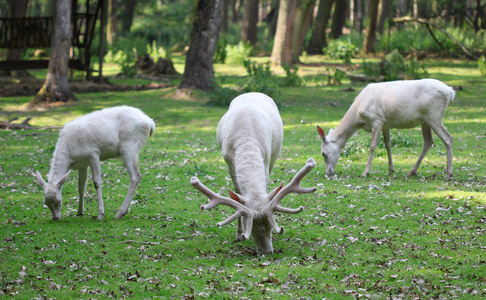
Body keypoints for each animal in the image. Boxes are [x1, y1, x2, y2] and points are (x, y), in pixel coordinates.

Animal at [188, 93, 318, 253]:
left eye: (270, 227)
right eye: (252, 231)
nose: (266, 252)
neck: (247, 139)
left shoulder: (267, 158)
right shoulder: (229, 162)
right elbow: (238, 196)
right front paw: (238, 234)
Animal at [318, 78, 454, 179]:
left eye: (323, 153)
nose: (328, 173)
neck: (358, 114)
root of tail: (450, 91)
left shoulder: (377, 119)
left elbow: (373, 146)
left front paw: (365, 172)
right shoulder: (385, 124)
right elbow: (388, 144)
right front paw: (390, 170)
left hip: (434, 116)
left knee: (448, 138)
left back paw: (448, 174)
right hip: (425, 120)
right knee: (428, 141)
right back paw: (411, 172)